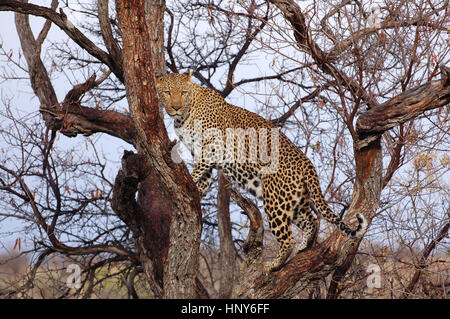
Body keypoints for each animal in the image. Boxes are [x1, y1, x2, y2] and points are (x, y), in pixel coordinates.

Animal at [156, 72, 368, 272]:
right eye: (167, 92)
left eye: (183, 92)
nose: (176, 107)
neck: (185, 115)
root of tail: (307, 163)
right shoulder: (201, 151)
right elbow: (205, 176)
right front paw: (199, 191)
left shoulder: (211, 146)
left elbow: (199, 168)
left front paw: (191, 180)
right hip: (293, 200)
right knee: (312, 221)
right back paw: (302, 248)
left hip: (275, 200)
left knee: (288, 238)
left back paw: (273, 265)